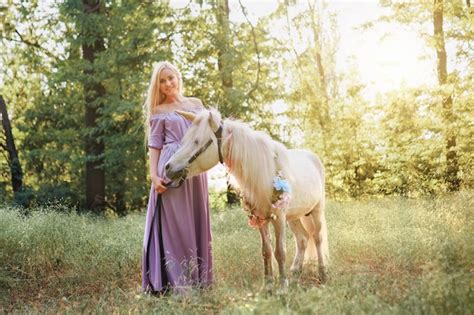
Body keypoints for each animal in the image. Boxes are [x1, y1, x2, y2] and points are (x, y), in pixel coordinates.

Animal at [167, 110, 330, 292]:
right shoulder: (260, 218)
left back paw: (322, 274)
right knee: (303, 239)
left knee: (317, 238)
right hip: (294, 217)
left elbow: (280, 252)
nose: (168, 167)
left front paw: (282, 288)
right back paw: (295, 274)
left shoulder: (278, 217)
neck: (262, 170)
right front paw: (268, 286)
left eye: (197, 141)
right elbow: (266, 251)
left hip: (316, 211)